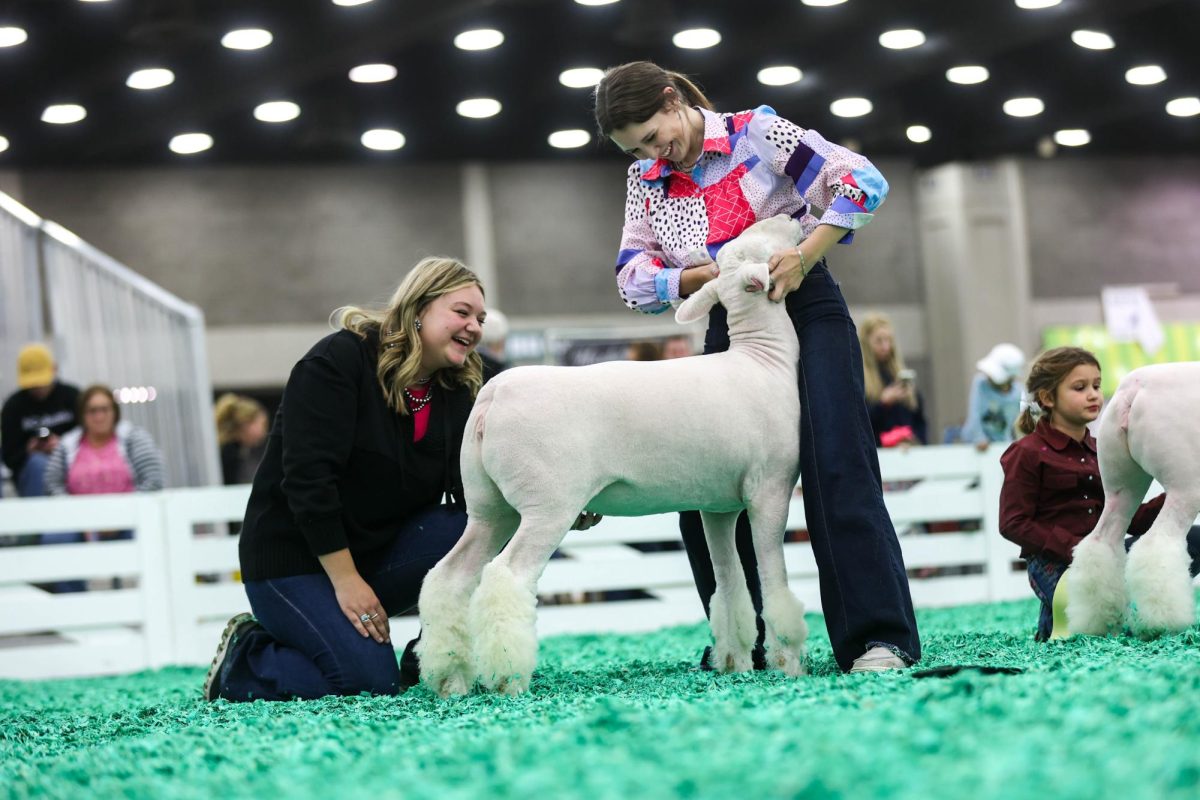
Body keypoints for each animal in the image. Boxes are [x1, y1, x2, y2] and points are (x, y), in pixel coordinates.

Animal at [417, 215, 811, 695]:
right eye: (757, 244)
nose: (790, 217)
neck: (761, 359)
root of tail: (493, 396)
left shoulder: (717, 506)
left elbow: (729, 585)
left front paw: (734, 660)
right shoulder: (770, 491)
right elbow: (773, 583)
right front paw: (789, 662)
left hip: (489, 506)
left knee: (449, 577)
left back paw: (450, 676)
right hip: (548, 504)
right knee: (506, 576)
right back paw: (508, 677)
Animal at [1070, 362, 1200, 638]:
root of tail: (1134, 389)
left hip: (1121, 486)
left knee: (1101, 542)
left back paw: (1102, 620)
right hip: (1187, 485)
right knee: (1156, 544)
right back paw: (1165, 622)